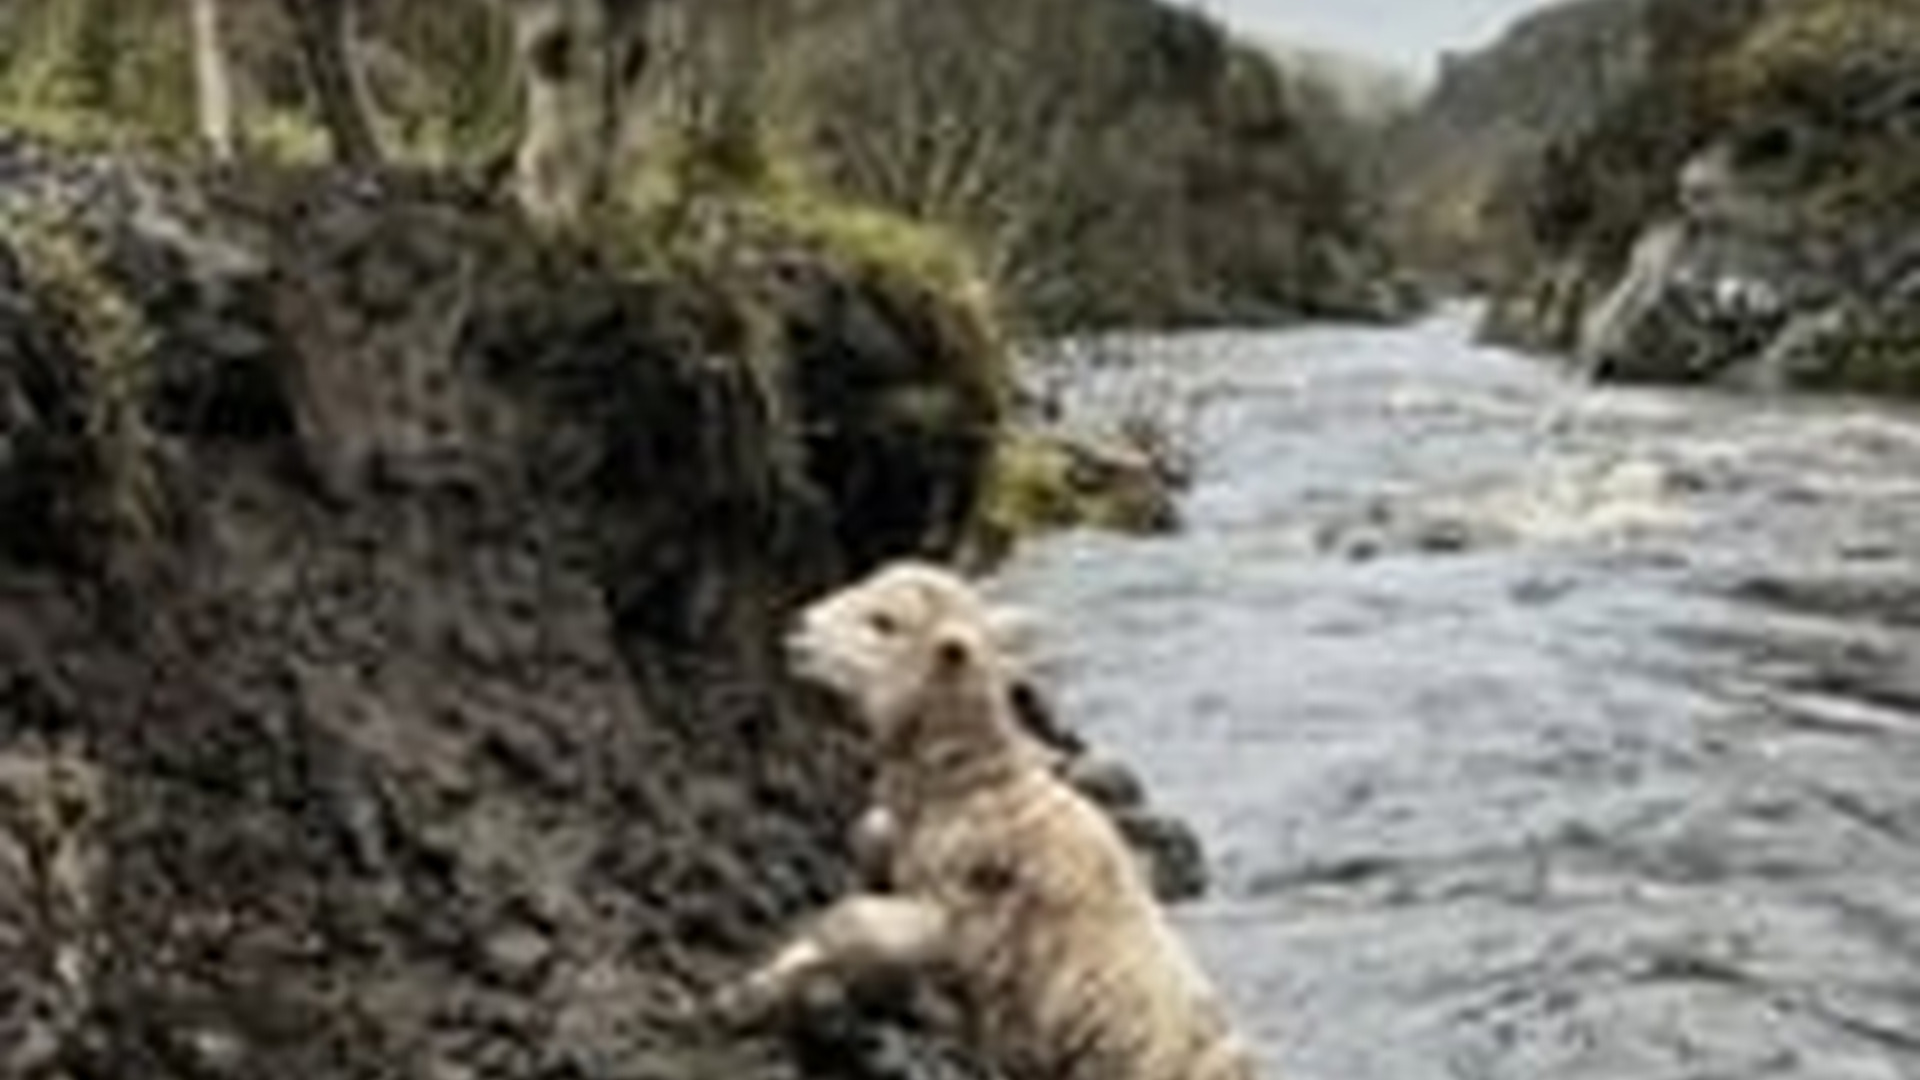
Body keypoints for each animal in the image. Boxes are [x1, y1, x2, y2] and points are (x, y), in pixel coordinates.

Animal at [716, 561, 1257, 1080]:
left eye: (884, 622)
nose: (796, 625)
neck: (974, 790)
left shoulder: (972, 928)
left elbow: (854, 918)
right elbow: (863, 857)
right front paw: (754, 988)